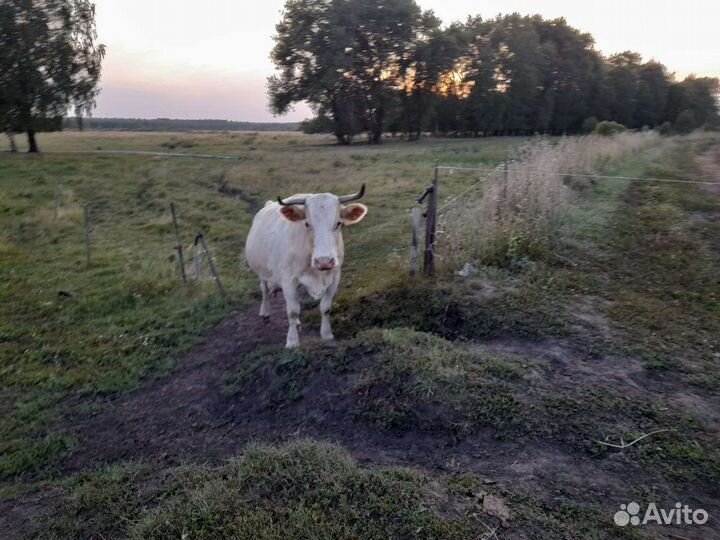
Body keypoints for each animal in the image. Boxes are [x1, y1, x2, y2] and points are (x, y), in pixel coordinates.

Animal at [244, 185, 367, 348]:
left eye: (338, 223)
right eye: (307, 224)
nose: (324, 261)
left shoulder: (335, 276)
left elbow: (325, 307)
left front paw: (326, 334)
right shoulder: (288, 280)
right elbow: (292, 311)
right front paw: (292, 341)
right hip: (262, 271)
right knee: (264, 289)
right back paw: (265, 312)